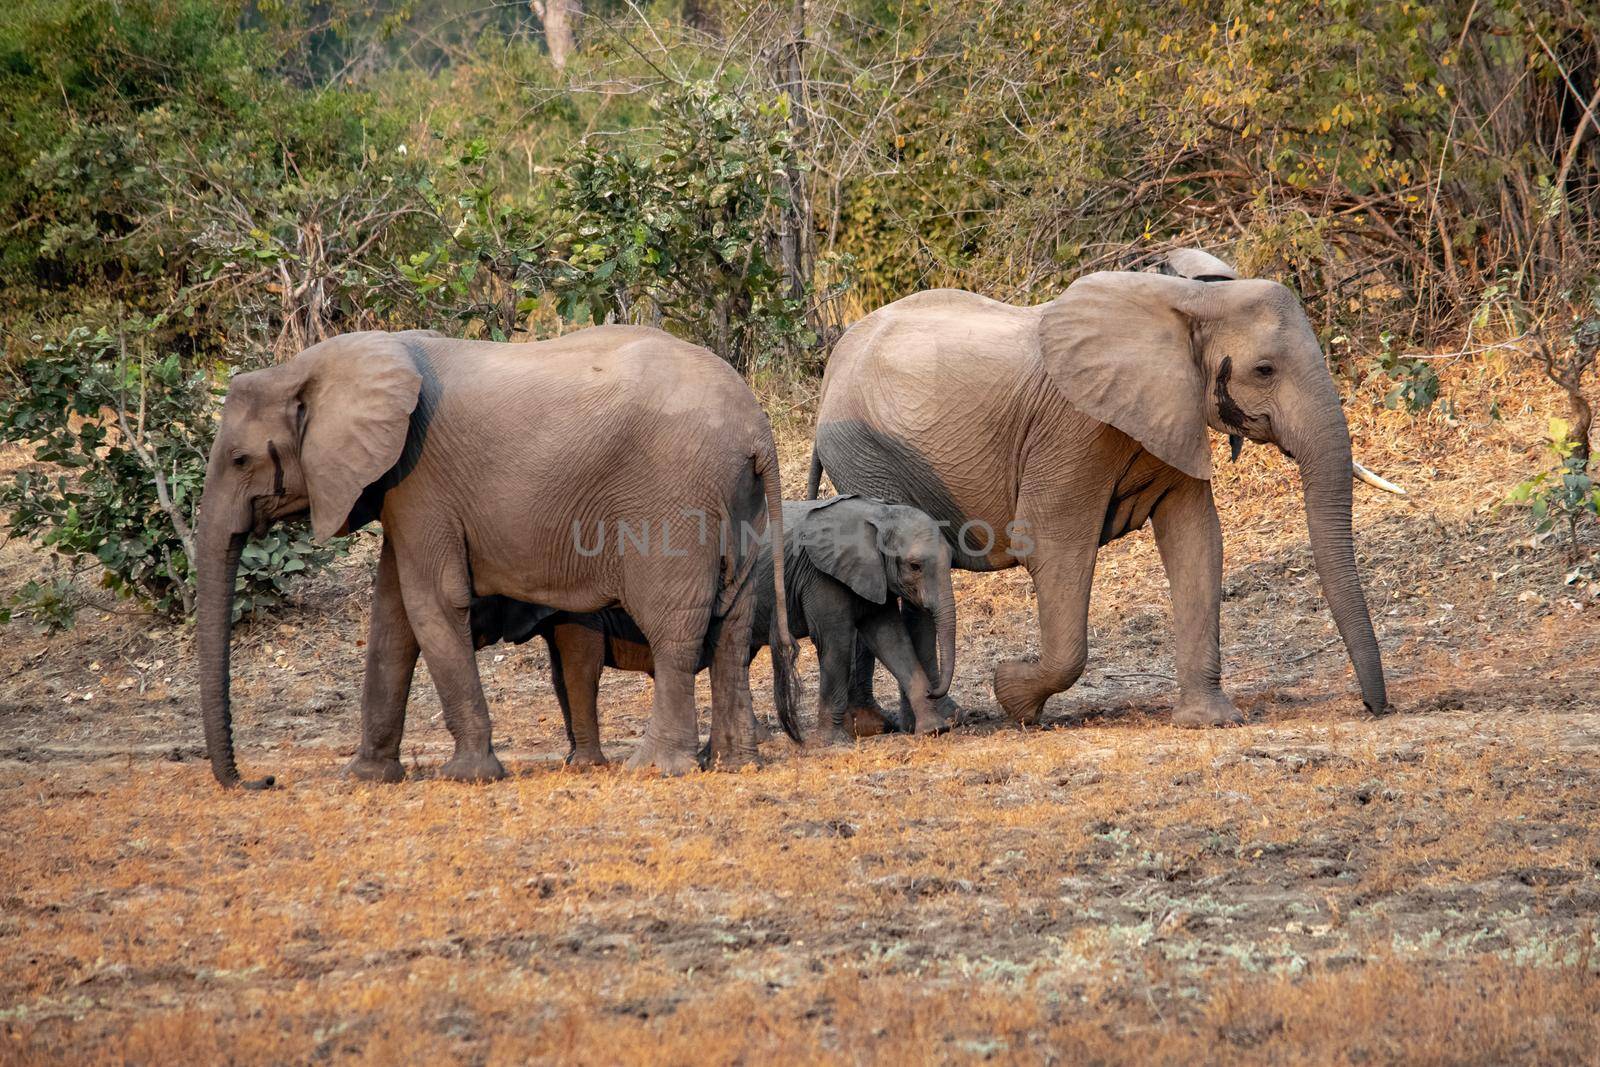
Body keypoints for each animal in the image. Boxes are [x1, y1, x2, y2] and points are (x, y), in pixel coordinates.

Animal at [196, 326, 800, 783]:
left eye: (240, 459)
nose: (260, 781)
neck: (313, 367)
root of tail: (757, 427)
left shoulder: (421, 482)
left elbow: (431, 603)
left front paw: (467, 776)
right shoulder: (400, 489)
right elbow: (393, 615)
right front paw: (366, 778)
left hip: (671, 498)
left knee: (675, 626)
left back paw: (656, 767)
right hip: (735, 501)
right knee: (732, 625)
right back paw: (735, 764)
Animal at [467, 495, 953, 764]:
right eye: (913, 566)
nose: (938, 694)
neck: (878, 512)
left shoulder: (868, 576)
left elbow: (890, 639)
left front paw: (933, 730)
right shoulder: (821, 576)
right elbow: (834, 643)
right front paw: (830, 744)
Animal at [806, 255, 1395, 735]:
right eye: (1265, 370)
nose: (1377, 709)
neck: (1191, 302)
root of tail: (832, 369)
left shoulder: (1169, 412)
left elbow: (1197, 541)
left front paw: (1211, 720)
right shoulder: (1074, 428)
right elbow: (1052, 548)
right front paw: (1013, 697)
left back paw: (902, 723)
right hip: (864, 453)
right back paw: (903, 725)